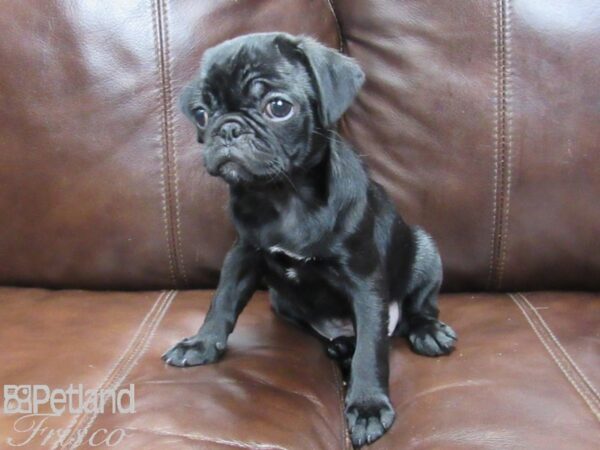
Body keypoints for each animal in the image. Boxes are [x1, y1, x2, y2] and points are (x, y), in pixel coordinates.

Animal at [162, 31, 458, 446]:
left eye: (278, 107)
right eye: (203, 113)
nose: (229, 128)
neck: (283, 195)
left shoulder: (364, 281)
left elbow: (372, 348)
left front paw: (368, 406)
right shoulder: (243, 255)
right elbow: (221, 302)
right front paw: (202, 343)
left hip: (425, 253)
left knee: (416, 309)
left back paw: (427, 332)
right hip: (281, 301)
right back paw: (340, 345)